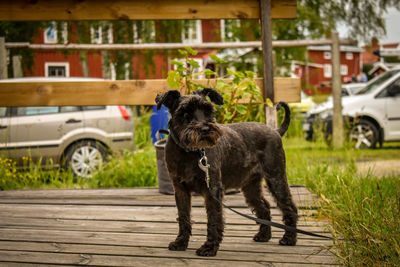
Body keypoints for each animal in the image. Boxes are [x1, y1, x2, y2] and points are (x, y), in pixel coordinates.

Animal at [156, 88, 296, 258]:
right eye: (185, 112)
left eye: (208, 110)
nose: (205, 129)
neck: (189, 152)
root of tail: (275, 131)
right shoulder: (180, 189)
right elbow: (183, 217)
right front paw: (180, 243)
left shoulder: (213, 189)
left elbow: (214, 219)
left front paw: (209, 247)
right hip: (250, 186)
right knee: (264, 206)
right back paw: (263, 235)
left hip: (276, 178)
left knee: (289, 206)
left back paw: (289, 238)